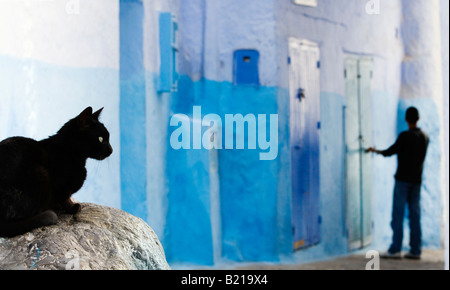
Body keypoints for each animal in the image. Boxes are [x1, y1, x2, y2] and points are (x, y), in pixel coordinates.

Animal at [0, 107, 112, 237]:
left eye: (108, 138)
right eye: (100, 139)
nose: (111, 150)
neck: (68, 151)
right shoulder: (61, 186)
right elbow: (65, 198)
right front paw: (72, 207)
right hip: (41, 174)